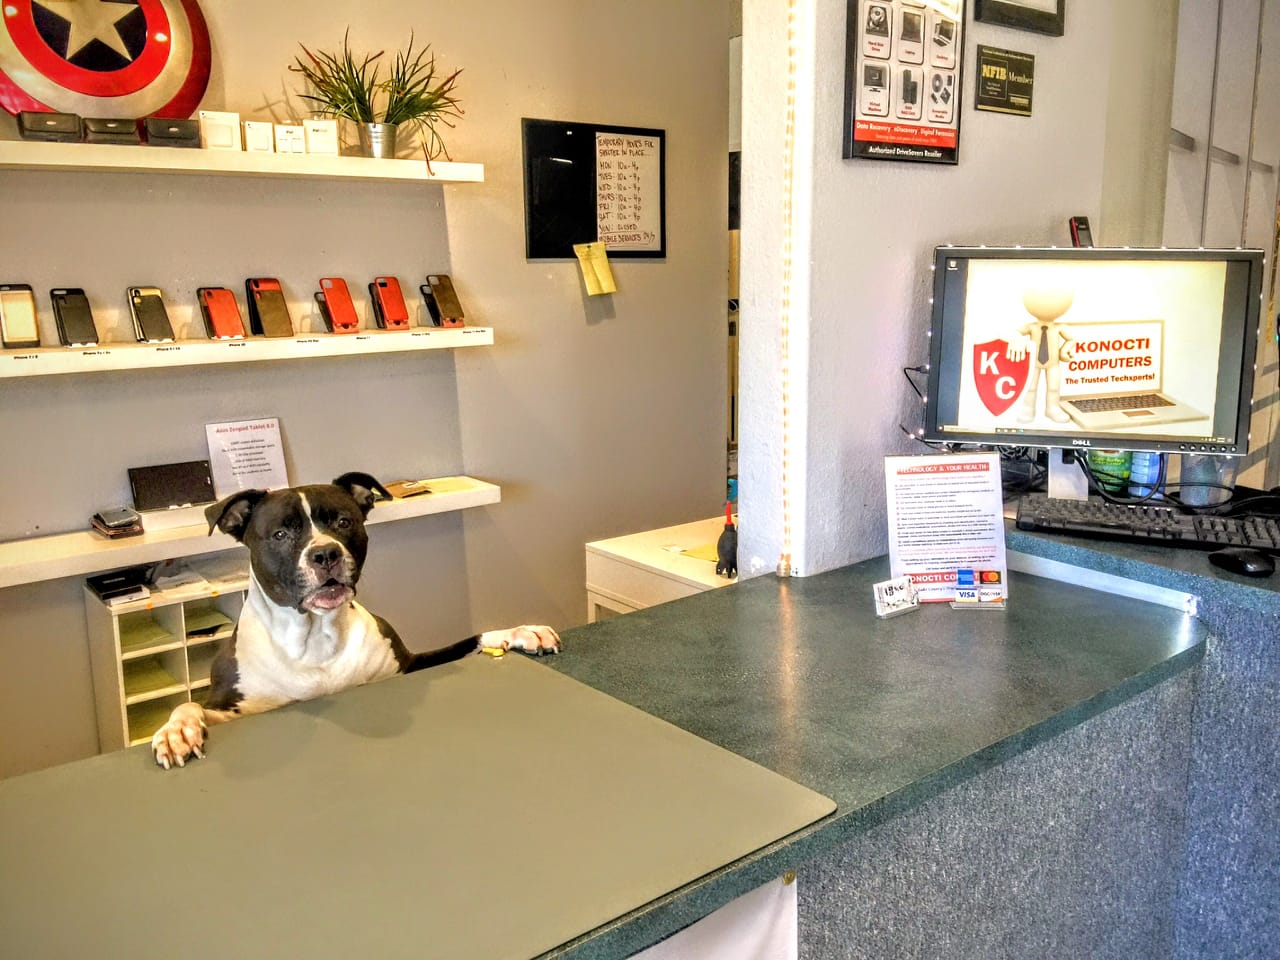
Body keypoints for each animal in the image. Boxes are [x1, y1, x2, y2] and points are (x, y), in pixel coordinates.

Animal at [151, 472, 560, 769]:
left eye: (344, 521)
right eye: (280, 534)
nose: (325, 553)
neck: (316, 639)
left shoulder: (407, 666)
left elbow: (471, 639)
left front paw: (521, 631)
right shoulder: (235, 707)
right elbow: (190, 706)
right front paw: (176, 731)